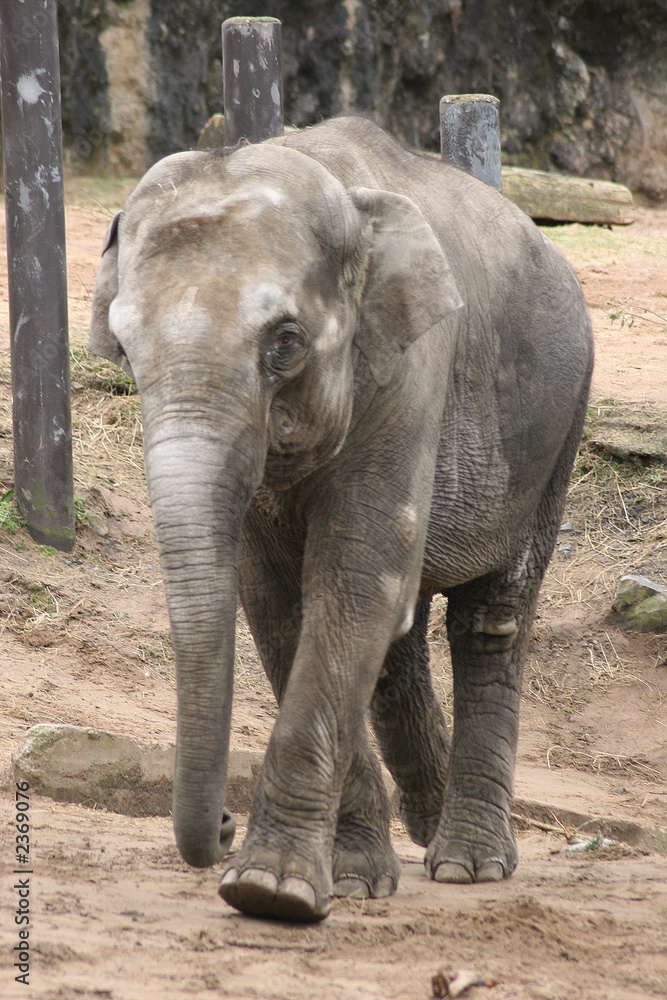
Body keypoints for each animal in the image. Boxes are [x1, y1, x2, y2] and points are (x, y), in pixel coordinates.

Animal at [89, 116, 593, 922]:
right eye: (125, 349)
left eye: (285, 341)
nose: (221, 825)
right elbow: (278, 605)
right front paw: (348, 880)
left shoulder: (413, 369)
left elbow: (351, 583)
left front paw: (271, 892)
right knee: (397, 642)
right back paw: (425, 824)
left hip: (558, 427)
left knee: (491, 619)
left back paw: (469, 863)